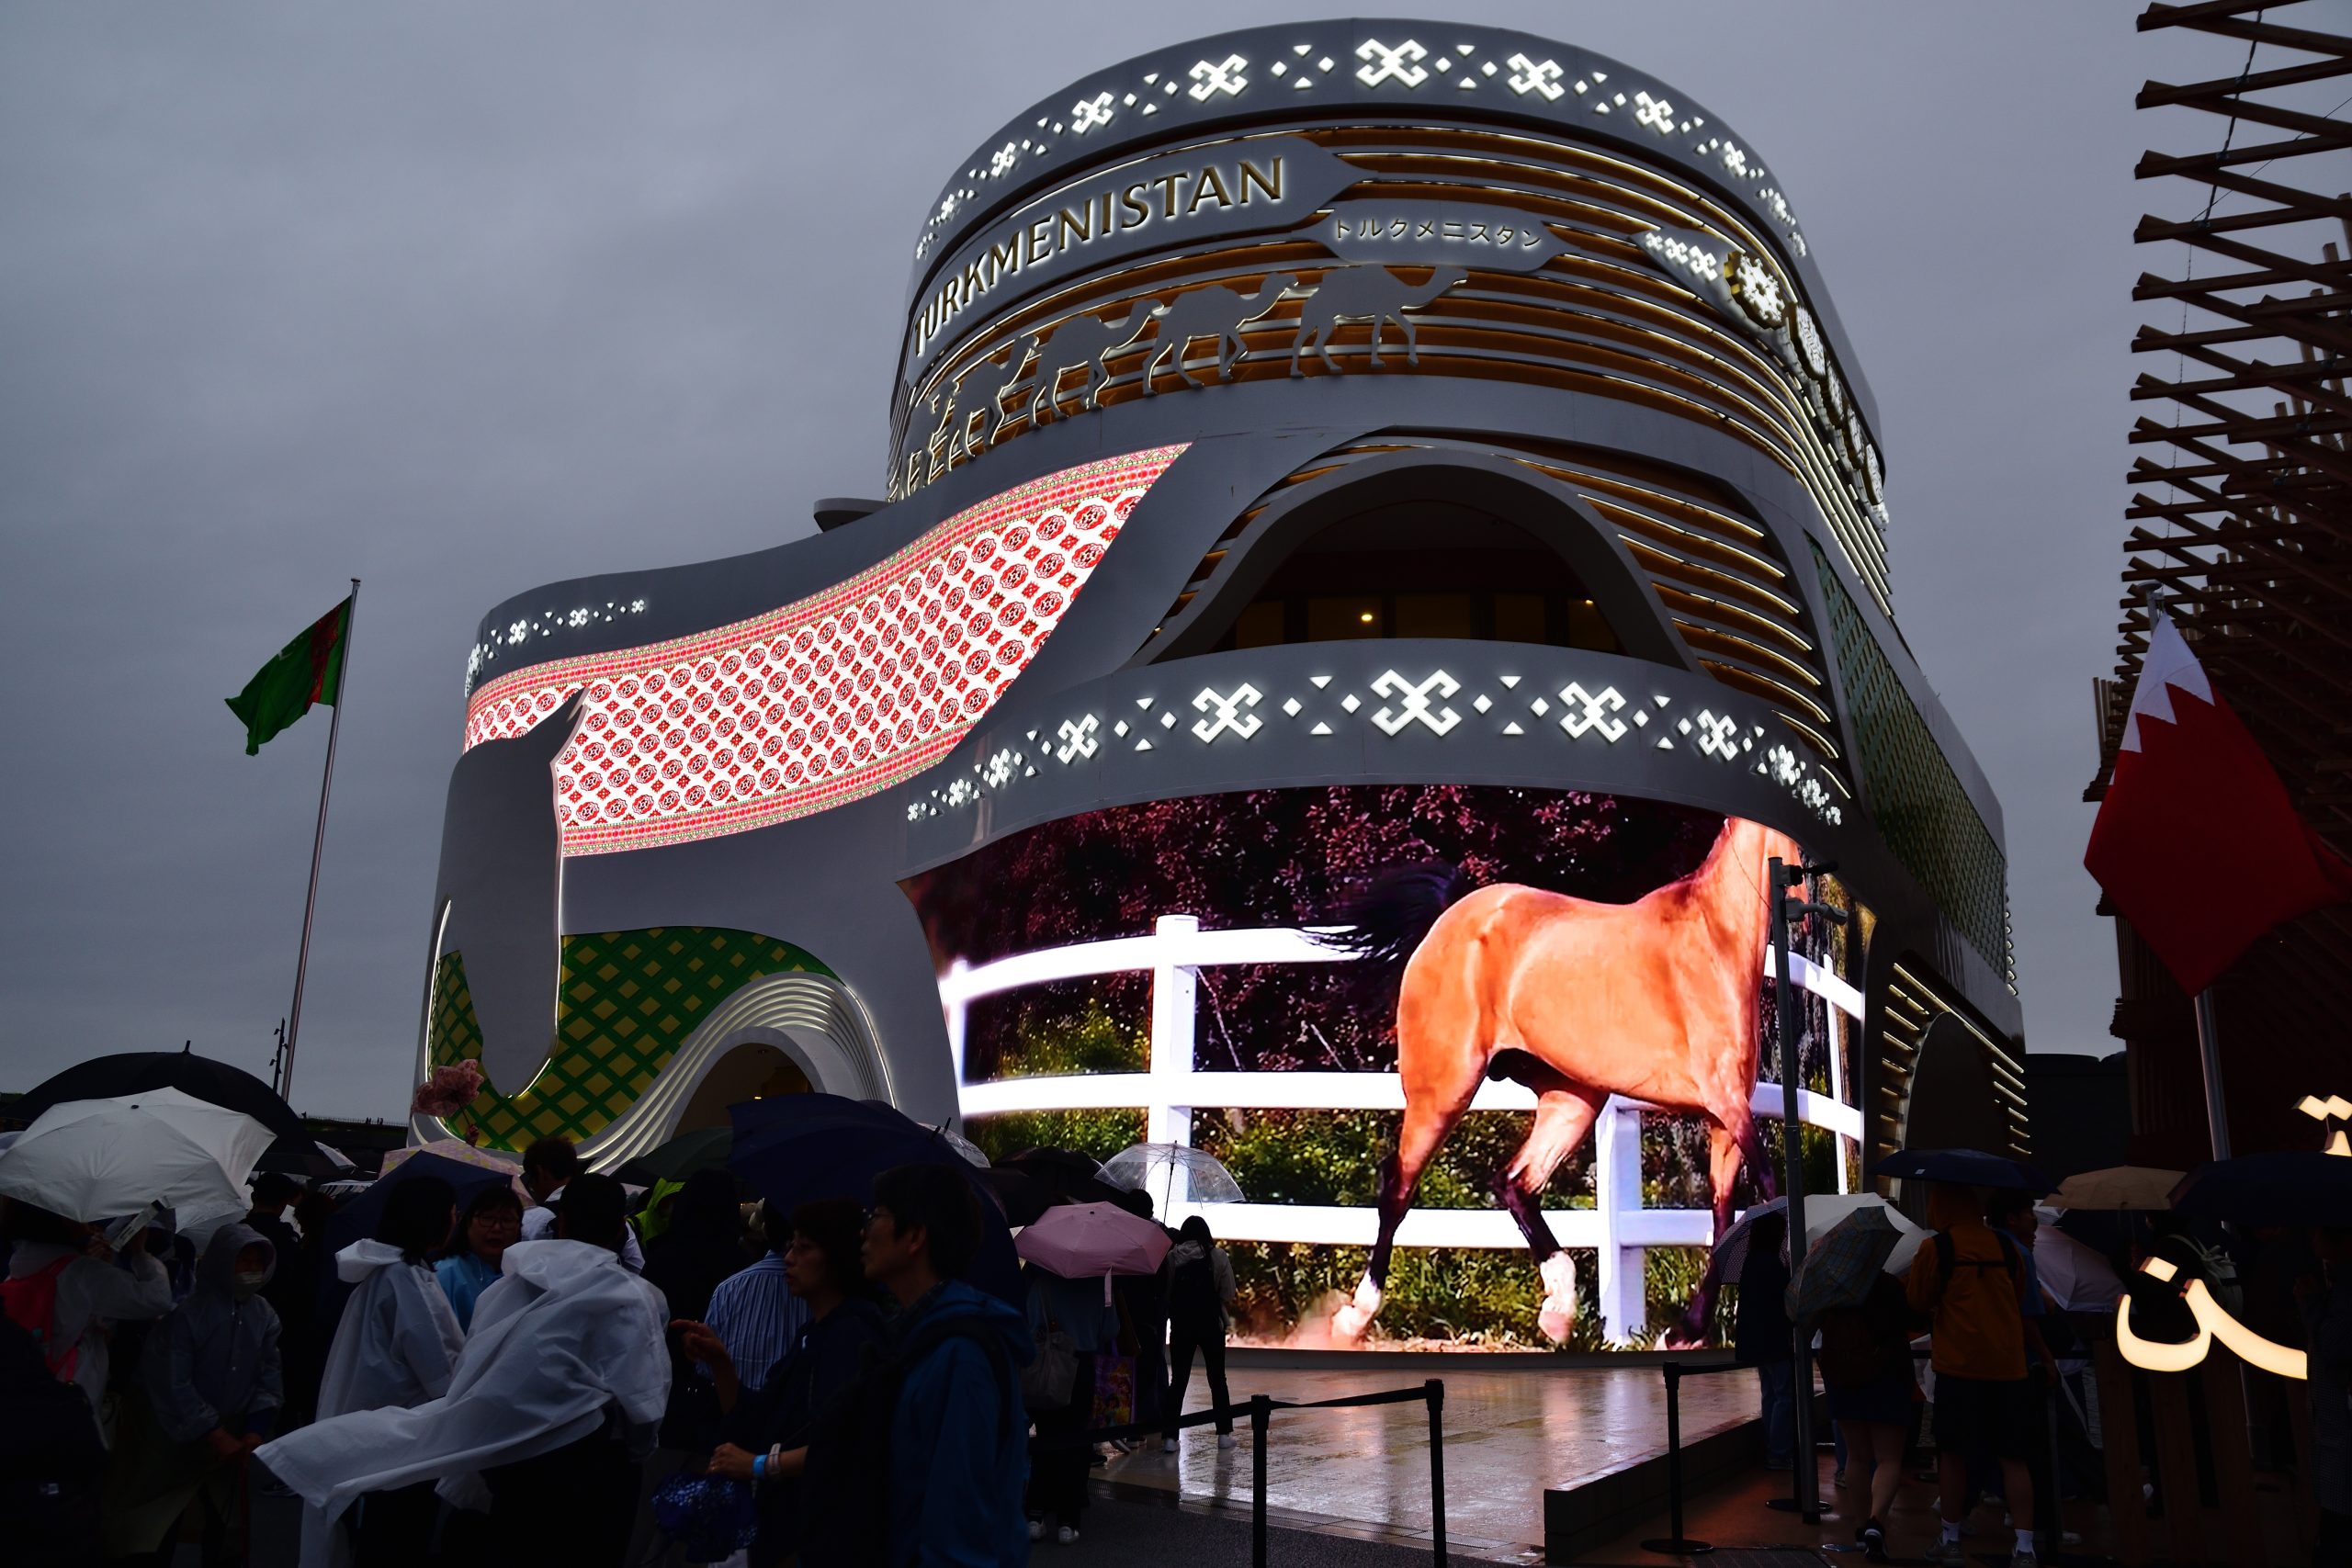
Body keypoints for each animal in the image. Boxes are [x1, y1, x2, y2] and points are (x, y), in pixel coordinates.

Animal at [1321, 815, 1803, 1346]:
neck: (1715, 943)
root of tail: (1449, 918)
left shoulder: (1724, 1117)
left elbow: (1724, 1215)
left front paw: (1686, 1331)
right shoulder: (1728, 1103)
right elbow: (1770, 1193)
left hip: (1573, 1100)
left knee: (1515, 1183)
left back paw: (1558, 1308)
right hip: (1443, 1088)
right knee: (1398, 1188)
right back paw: (1354, 1317)